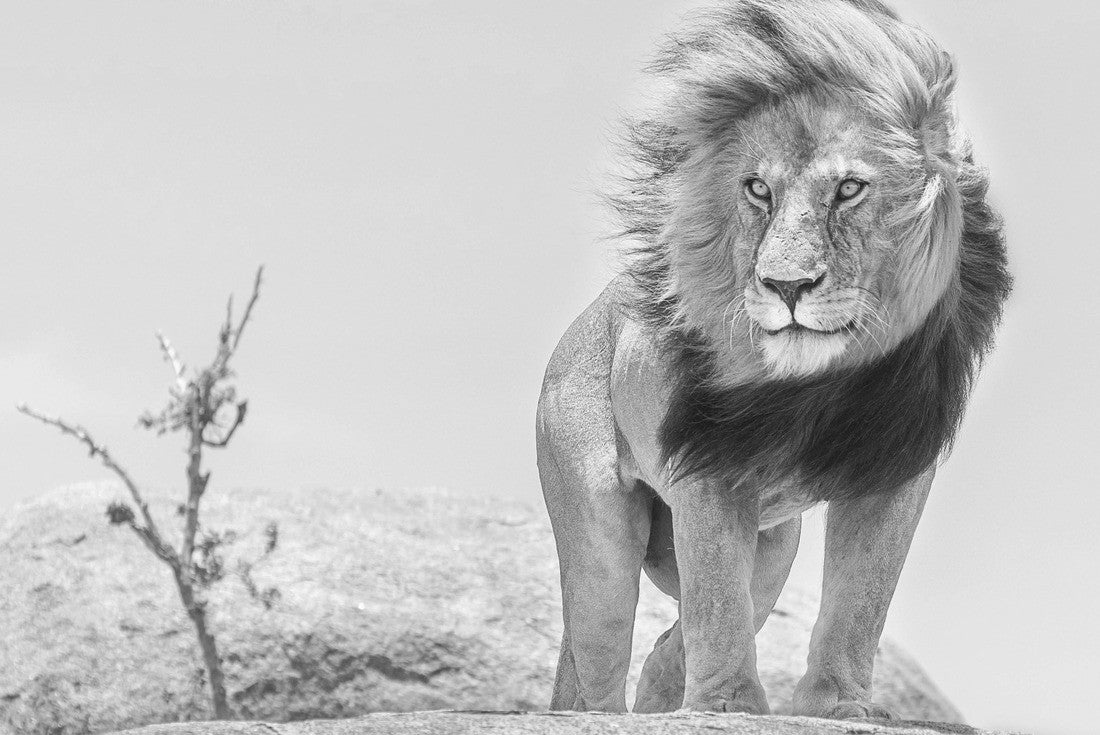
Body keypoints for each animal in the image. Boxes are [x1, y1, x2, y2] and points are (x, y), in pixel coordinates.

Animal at [536, 0, 1010, 719]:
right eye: (757, 190)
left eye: (850, 189)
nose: (786, 286)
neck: (821, 379)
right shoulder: (709, 465)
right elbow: (719, 601)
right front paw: (729, 707)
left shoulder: (896, 465)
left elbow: (860, 600)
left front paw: (837, 705)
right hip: (599, 535)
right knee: (599, 653)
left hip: (774, 543)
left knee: (675, 643)